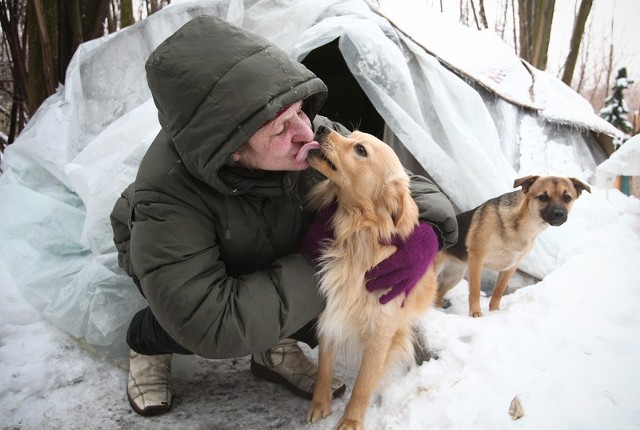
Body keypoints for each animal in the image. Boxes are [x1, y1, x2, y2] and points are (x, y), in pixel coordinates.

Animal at [304, 126, 436, 430]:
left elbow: (363, 385)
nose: (322, 127)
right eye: (350, 134)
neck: (356, 236)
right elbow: (324, 367)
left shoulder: (381, 334)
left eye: (361, 150)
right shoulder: (331, 313)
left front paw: (351, 421)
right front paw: (320, 405)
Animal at [436, 176, 592, 318]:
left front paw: (495, 312)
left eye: (567, 198)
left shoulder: (510, 267)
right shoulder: (477, 259)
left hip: (453, 276)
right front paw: (475, 313)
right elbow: (475, 290)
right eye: (543, 197)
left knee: (438, 294)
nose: (559, 214)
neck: (523, 226)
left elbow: (498, 292)